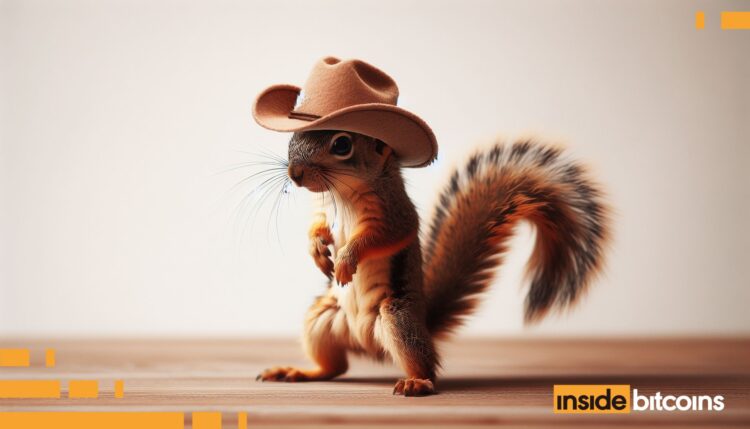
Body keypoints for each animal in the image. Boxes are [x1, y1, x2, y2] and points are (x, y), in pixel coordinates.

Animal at [255, 130, 610, 396]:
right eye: (295, 135)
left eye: (342, 144)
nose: (294, 174)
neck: (341, 193)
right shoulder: (323, 207)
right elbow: (316, 226)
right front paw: (317, 250)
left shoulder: (395, 213)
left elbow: (383, 236)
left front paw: (346, 259)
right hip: (320, 320)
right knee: (335, 367)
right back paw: (299, 371)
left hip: (397, 319)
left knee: (425, 363)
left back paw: (416, 382)